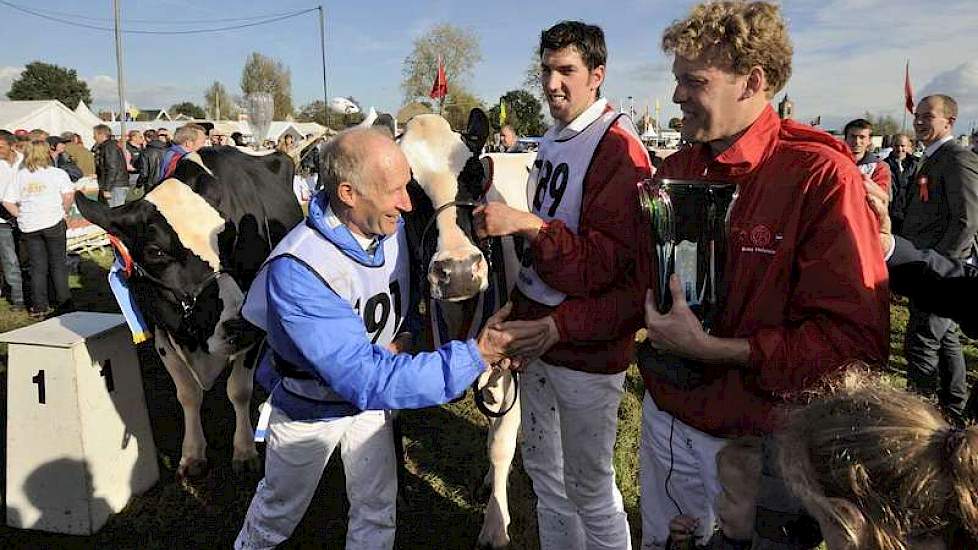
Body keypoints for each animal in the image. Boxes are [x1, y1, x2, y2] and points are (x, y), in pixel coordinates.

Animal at [76, 149, 302, 480]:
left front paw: (244, 450)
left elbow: (239, 390)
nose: (239, 324)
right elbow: (188, 394)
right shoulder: (162, 329)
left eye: (232, 235)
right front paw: (193, 454)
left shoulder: (257, 327)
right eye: (155, 251)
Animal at [396, 112, 532, 550]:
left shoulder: (510, 362)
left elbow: (501, 443)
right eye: (407, 186)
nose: (457, 272)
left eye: (473, 175)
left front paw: (495, 524)